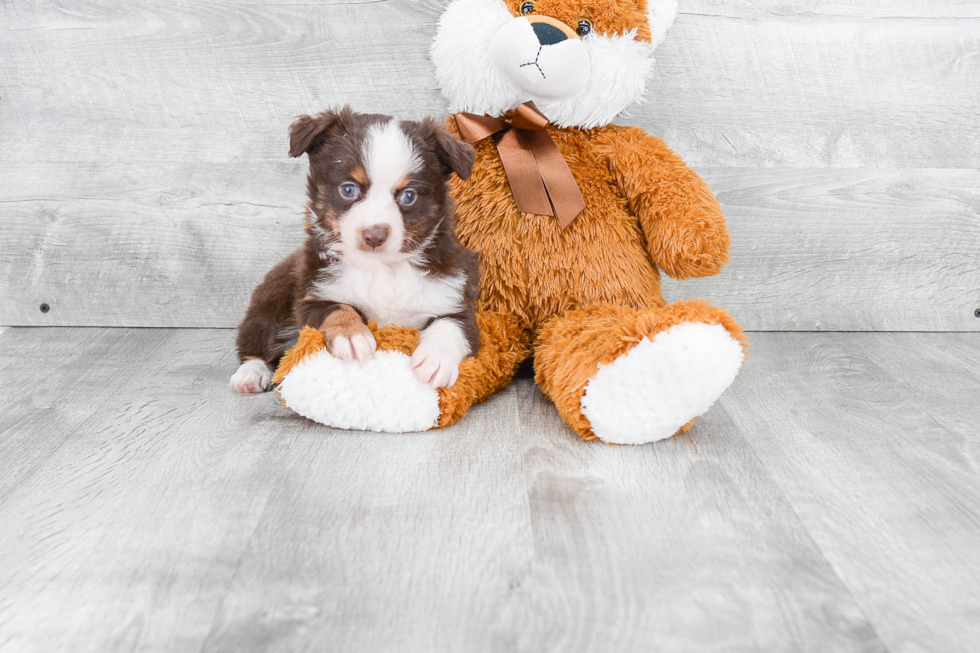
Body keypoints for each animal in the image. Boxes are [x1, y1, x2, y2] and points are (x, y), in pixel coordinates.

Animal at [237, 107, 482, 392]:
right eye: (348, 189)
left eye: (408, 196)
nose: (374, 235)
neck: (383, 269)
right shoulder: (312, 297)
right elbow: (337, 309)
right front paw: (351, 334)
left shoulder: (456, 301)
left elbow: (450, 326)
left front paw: (436, 359)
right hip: (272, 298)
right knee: (256, 340)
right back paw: (250, 374)